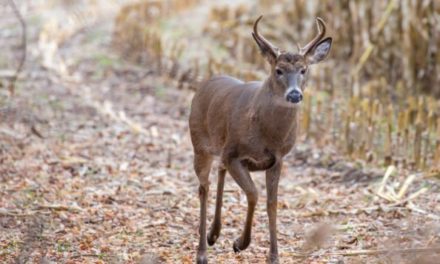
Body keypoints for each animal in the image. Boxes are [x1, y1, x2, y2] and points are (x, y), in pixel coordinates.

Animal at [187, 15, 332, 262]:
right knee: (203, 187)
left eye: (303, 70)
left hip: (221, 147)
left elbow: (272, 203)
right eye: (279, 70)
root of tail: (204, 84)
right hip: (200, 144)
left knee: (219, 172)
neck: (267, 135)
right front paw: (240, 243)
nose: (295, 94)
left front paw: (273, 256)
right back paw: (202, 252)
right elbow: (253, 194)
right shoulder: (234, 154)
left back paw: (214, 233)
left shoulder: (277, 159)